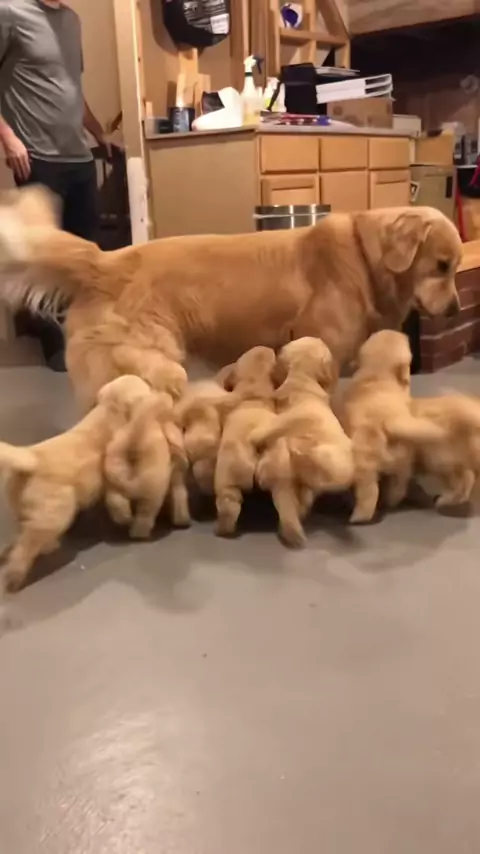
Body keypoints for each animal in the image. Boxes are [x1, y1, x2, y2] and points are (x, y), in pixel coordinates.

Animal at [0, 187, 462, 408]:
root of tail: (104, 260)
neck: (364, 258)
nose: (457, 310)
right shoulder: (319, 348)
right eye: (441, 266)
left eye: (456, 267)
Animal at [0, 375, 152, 592]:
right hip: (55, 514)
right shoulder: (115, 474)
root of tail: (30, 459)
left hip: (23, 508)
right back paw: (14, 578)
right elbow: (118, 499)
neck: (107, 414)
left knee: (24, 532)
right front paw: (124, 517)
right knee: (25, 548)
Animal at [102, 378, 191, 539]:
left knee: (121, 503)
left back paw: (127, 521)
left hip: (117, 482)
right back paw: (136, 530)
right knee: (144, 515)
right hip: (148, 491)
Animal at [339, 331, 445, 524]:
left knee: (369, 493)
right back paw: (392, 500)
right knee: (399, 484)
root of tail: (390, 421)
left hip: (366, 467)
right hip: (403, 459)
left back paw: (357, 516)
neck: (377, 373)